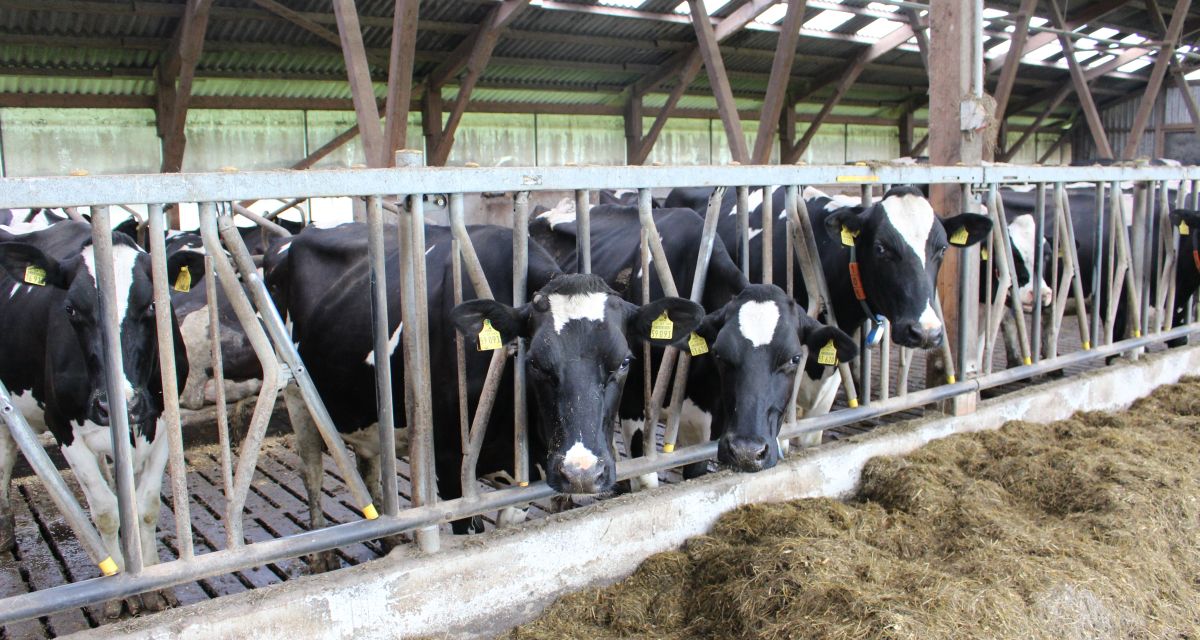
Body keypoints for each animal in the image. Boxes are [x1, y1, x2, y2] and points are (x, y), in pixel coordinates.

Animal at [0, 221, 201, 617]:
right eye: (71, 309)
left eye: (152, 304)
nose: (116, 404)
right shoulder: (62, 424)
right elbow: (106, 510)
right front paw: (122, 589)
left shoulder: (162, 420)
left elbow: (145, 505)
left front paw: (155, 581)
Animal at [265, 222, 701, 570]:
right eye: (535, 362)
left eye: (625, 361)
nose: (582, 473)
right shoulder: (449, 464)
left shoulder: (528, 470)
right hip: (296, 392)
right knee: (312, 471)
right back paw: (322, 556)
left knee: (370, 463)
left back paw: (390, 540)